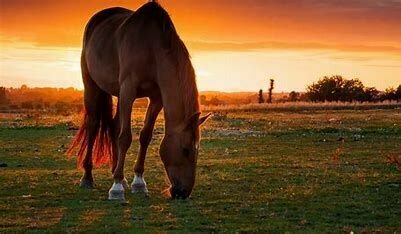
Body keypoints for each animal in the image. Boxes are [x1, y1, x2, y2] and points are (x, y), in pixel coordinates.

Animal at [68, 0, 212, 201]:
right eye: (186, 150)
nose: (183, 192)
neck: (151, 47)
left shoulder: (156, 98)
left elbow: (145, 136)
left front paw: (138, 182)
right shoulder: (128, 90)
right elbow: (125, 137)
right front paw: (116, 188)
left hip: (118, 94)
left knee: (114, 126)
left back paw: (119, 175)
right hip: (93, 87)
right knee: (93, 125)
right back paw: (88, 178)